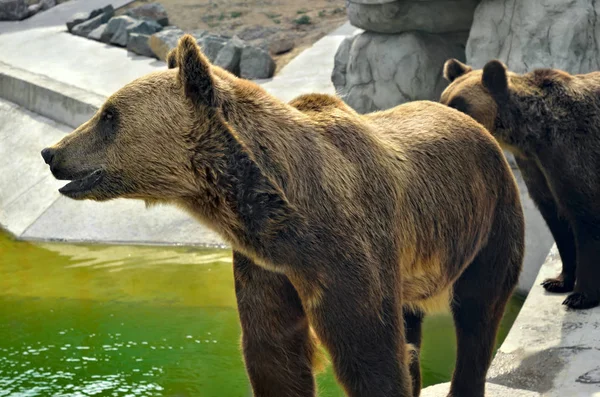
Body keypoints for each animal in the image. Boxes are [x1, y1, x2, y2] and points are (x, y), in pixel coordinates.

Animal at [41, 35, 524, 394]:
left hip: (489, 219)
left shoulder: (346, 251)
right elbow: (274, 355)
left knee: (478, 316)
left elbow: (370, 355)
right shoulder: (266, 267)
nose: (51, 152)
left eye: (108, 115)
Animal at [438, 58, 596, 310]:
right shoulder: (535, 167)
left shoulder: (572, 152)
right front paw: (558, 281)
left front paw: (581, 296)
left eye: (458, 104)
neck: (532, 135)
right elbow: (557, 221)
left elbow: (584, 216)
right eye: (444, 100)